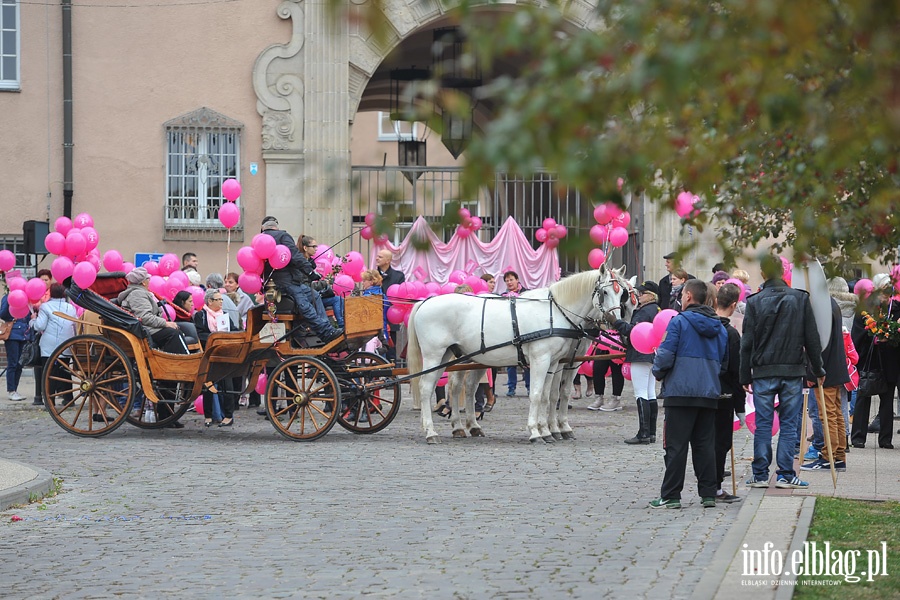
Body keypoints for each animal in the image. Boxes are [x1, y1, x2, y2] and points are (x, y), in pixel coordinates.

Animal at [408, 264, 632, 442]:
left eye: (623, 294)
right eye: (604, 292)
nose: (617, 323)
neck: (556, 312)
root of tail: (426, 301)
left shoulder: (559, 362)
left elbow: (553, 395)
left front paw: (553, 430)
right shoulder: (541, 360)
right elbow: (537, 394)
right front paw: (536, 431)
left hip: (453, 356)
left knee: (461, 387)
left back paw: (463, 427)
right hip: (434, 356)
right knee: (427, 388)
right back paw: (431, 432)